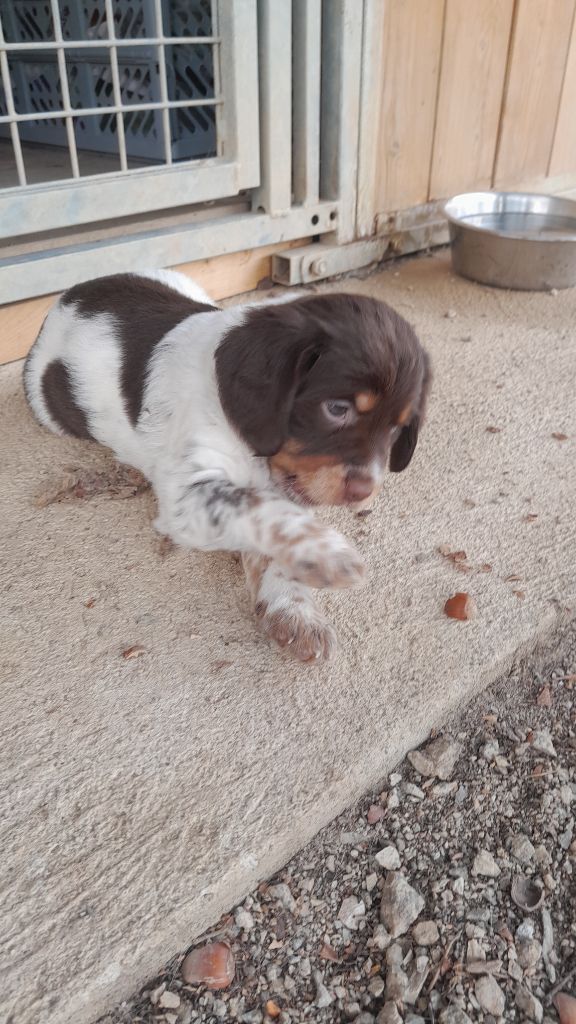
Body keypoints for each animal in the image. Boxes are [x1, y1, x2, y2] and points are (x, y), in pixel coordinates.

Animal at [24, 270, 430, 662]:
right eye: (336, 409)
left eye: (397, 427)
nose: (364, 492)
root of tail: (70, 295)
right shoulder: (188, 494)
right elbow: (257, 508)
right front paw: (327, 555)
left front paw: (294, 609)